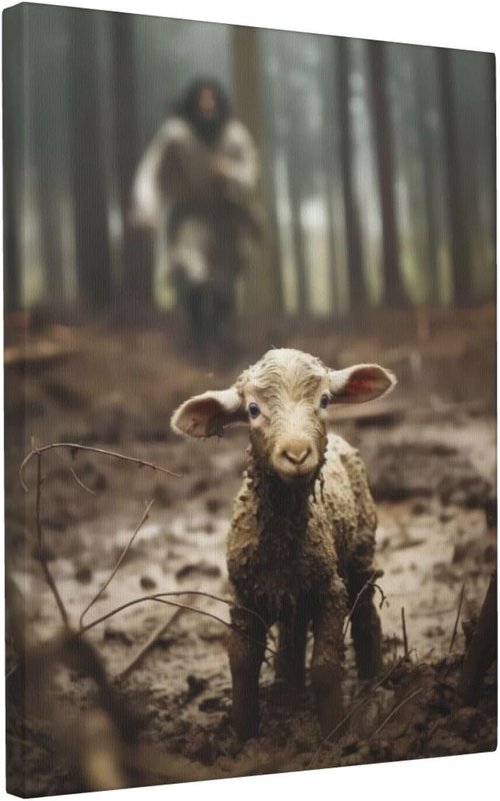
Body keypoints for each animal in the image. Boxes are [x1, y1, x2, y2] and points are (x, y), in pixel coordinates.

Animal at [171, 348, 396, 740]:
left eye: (324, 400)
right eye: (253, 409)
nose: (296, 454)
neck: (280, 542)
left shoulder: (329, 590)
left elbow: (325, 667)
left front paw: (335, 734)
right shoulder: (244, 595)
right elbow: (241, 664)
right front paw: (242, 733)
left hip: (359, 550)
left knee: (366, 609)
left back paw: (372, 680)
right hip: (295, 590)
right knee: (292, 633)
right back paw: (286, 694)